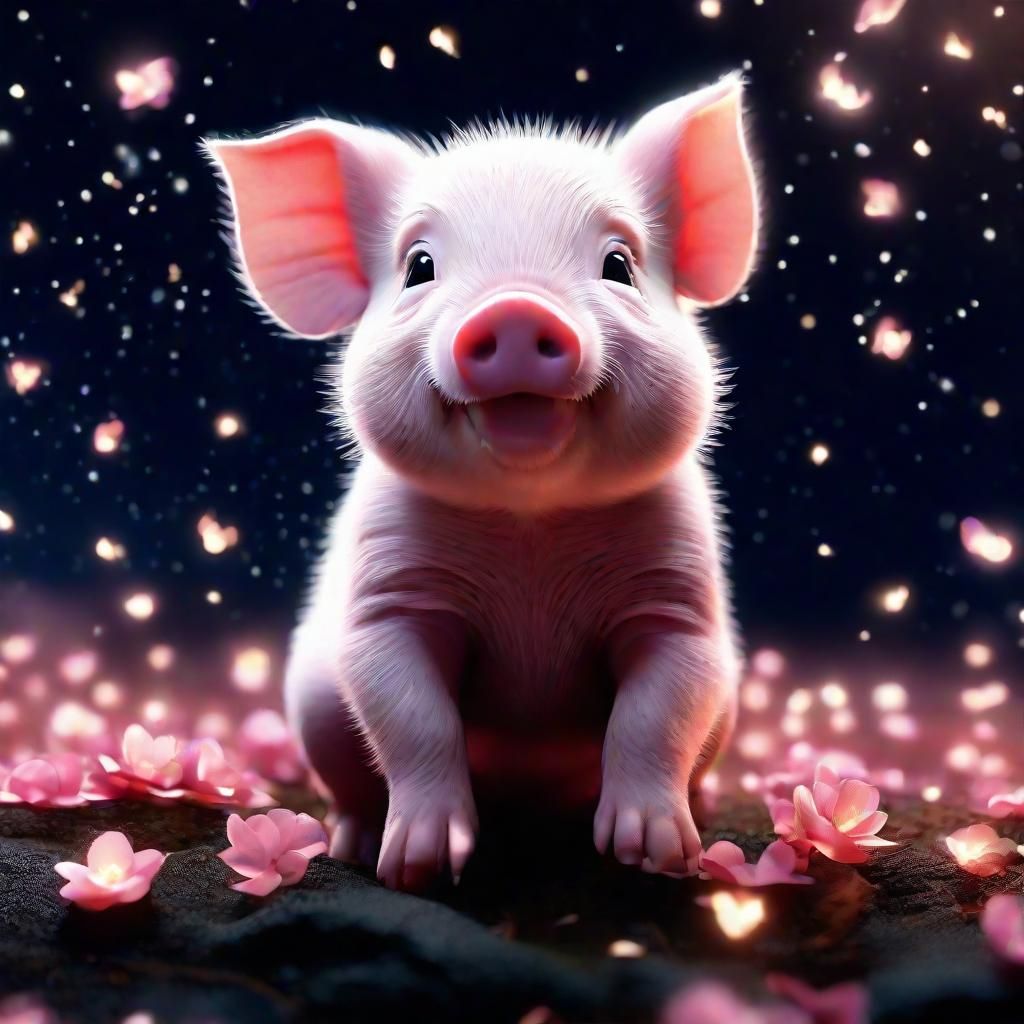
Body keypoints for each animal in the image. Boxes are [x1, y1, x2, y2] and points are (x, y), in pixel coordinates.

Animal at [204, 72, 759, 890]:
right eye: (419, 267)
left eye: (619, 264)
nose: (518, 307)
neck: (528, 525)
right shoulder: (391, 594)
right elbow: (413, 715)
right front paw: (421, 868)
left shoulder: (677, 599)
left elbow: (654, 713)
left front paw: (653, 857)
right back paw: (352, 845)